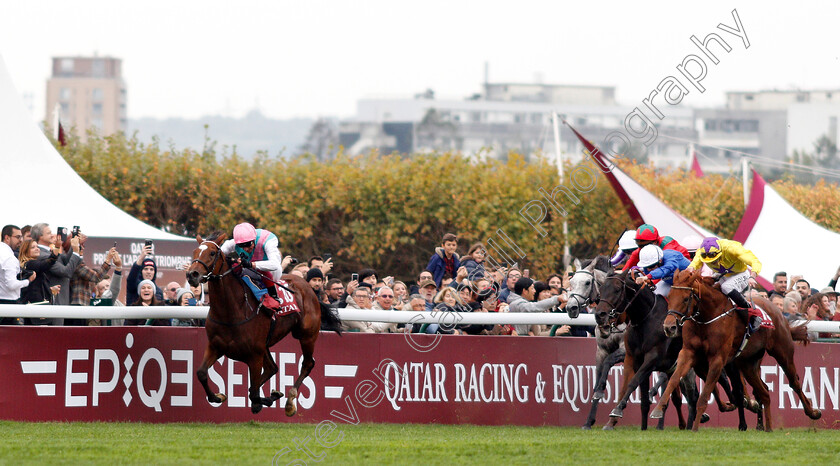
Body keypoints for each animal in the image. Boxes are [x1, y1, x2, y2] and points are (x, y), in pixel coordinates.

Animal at [186, 227, 342, 416]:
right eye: (194, 252)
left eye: (212, 253)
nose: (192, 274)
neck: (232, 310)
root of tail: (309, 287)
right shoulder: (216, 346)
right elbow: (201, 373)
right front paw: (218, 396)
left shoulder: (254, 355)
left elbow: (253, 394)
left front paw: (265, 400)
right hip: (266, 344)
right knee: (272, 368)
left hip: (307, 335)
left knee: (307, 363)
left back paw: (290, 401)